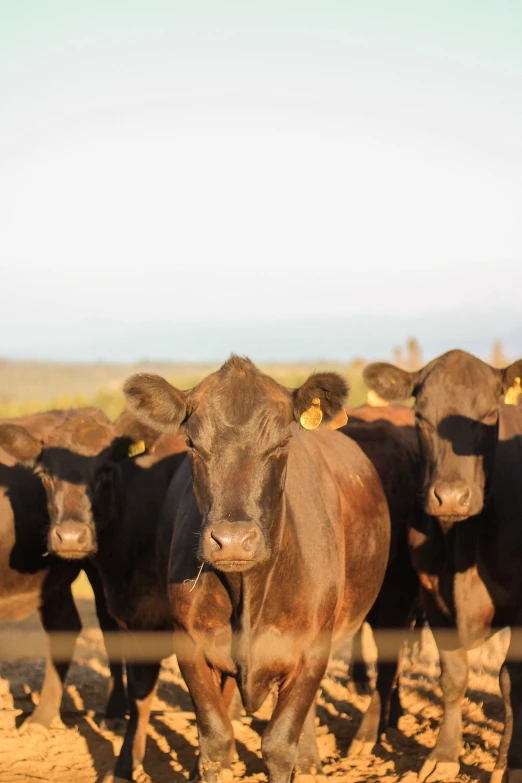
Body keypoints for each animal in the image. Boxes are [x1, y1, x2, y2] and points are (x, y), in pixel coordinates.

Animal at [124, 356, 388, 783]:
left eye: (282, 441)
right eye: (192, 443)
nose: (232, 540)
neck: (247, 593)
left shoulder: (313, 649)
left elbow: (280, 743)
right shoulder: (190, 643)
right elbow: (215, 737)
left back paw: (310, 760)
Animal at [364, 350, 522, 783]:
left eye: (490, 413)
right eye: (420, 416)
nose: (450, 497)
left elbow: (512, 682)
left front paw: (511, 763)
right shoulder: (434, 599)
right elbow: (452, 676)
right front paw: (444, 755)